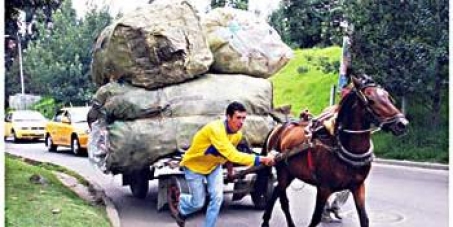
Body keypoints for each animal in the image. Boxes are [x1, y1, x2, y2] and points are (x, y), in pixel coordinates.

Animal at [260, 73, 408, 226]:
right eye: (371, 100)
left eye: (388, 97)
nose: (402, 124)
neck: (341, 145)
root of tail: (279, 127)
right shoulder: (324, 188)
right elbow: (316, 218)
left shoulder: (358, 186)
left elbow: (364, 218)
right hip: (282, 170)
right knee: (283, 199)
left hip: (291, 172)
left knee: (276, 191)